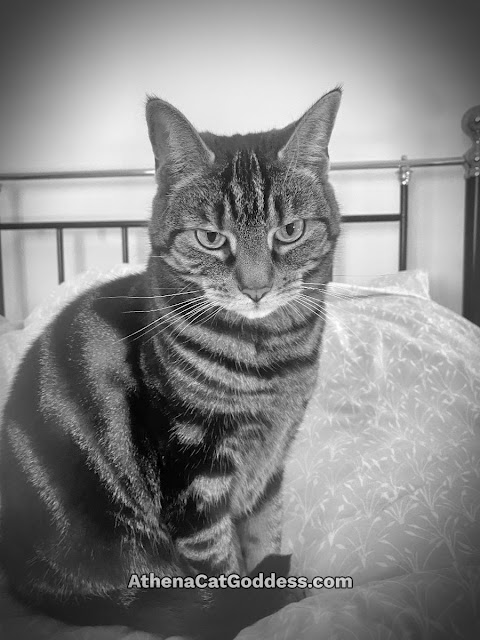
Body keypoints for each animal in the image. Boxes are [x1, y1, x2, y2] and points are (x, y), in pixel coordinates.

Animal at [1, 86, 344, 640]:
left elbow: (264, 537)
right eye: (211, 238)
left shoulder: (270, 466)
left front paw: (277, 593)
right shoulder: (194, 472)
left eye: (290, 231)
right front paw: (249, 608)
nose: (256, 289)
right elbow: (223, 571)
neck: (272, 360)